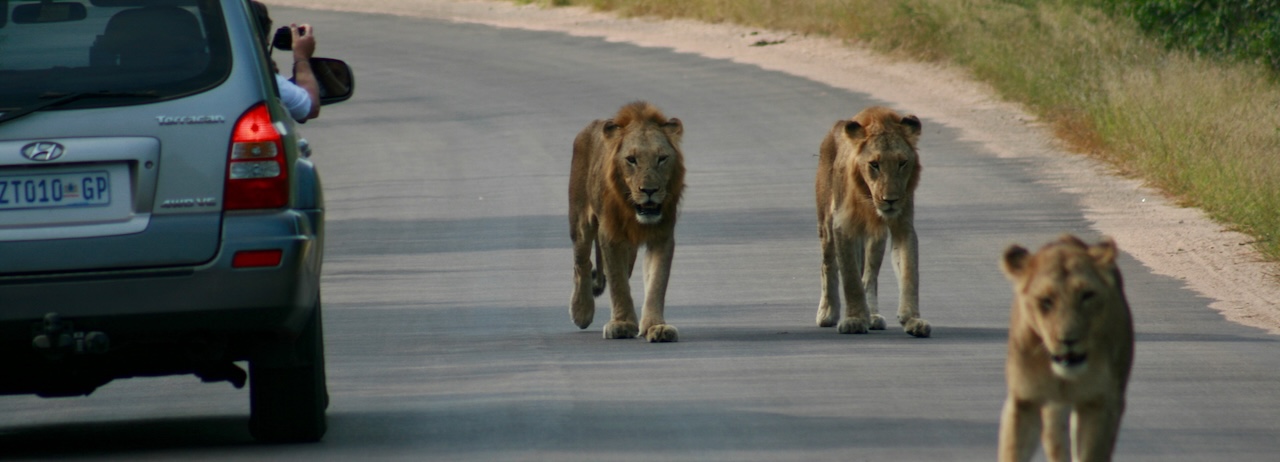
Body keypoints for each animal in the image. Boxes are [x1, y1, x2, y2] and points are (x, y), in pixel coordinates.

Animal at [570, 101, 686, 342]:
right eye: (631, 160)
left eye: (662, 158)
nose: (649, 190)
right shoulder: (610, 236)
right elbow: (618, 282)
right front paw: (622, 324)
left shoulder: (662, 237)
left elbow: (657, 282)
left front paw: (656, 326)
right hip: (580, 222)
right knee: (582, 263)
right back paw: (581, 311)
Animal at [819, 105, 931, 335]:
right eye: (874, 164)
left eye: (902, 163)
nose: (891, 200)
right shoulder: (842, 225)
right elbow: (850, 277)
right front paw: (854, 320)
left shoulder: (903, 226)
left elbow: (909, 272)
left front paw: (913, 319)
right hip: (826, 225)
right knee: (828, 265)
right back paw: (827, 313)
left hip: (875, 238)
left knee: (869, 276)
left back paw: (872, 315)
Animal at [998, 235, 1131, 458]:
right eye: (1045, 300)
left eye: (1087, 295)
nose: (1069, 339)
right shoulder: (1024, 401)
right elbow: (1011, 453)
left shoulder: (1100, 402)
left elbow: (1091, 453)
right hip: (1054, 411)